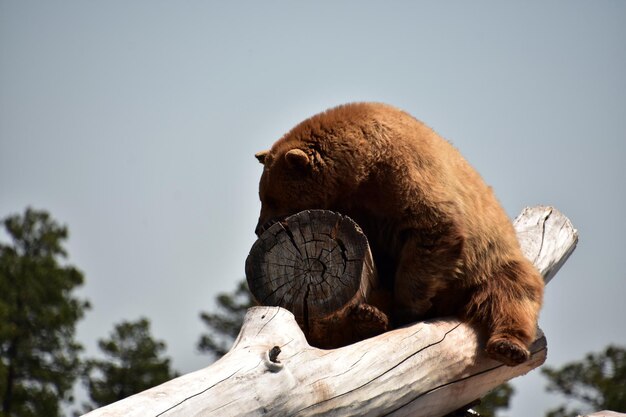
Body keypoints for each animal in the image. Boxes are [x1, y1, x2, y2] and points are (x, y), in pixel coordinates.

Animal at [252, 101, 540, 364]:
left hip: (490, 262)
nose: (259, 227)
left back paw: (508, 345)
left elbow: (433, 228)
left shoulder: (403, 177)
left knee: (512, 293)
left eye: (270, 198)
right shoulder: (358, 209)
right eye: (262, 196)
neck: (362, 168)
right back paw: (369, 317)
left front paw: (407, 310)